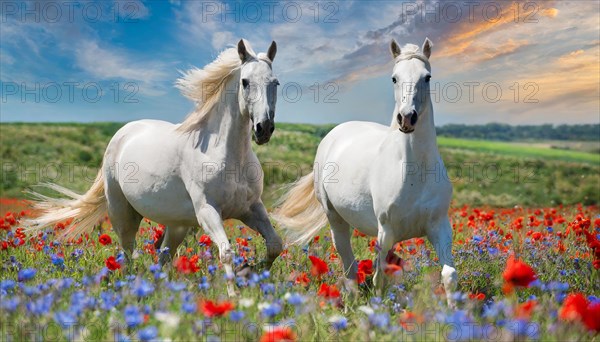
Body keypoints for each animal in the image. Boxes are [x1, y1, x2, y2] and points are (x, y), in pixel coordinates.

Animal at [24, 38, 282, 296]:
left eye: (275, 83)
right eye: (245, 82)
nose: (264, 129)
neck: (226, 154)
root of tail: (123, 133)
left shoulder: (251, 208)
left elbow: (275, 245)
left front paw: (252, 273)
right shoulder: (208, 211)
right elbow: (227, 252)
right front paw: (235, 294)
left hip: (177, 225)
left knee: (162, 255)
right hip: (122, 214)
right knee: (129, 252)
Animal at [274, 38, 458, 308]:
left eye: (427, 77)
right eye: (394, 78)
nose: (407, 118)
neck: (415, 172)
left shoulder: (439, 225)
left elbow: (449, 275)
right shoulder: (386, 229)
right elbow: (379, 277)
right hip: (335, 217)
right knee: (346, 258)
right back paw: (351, 297)